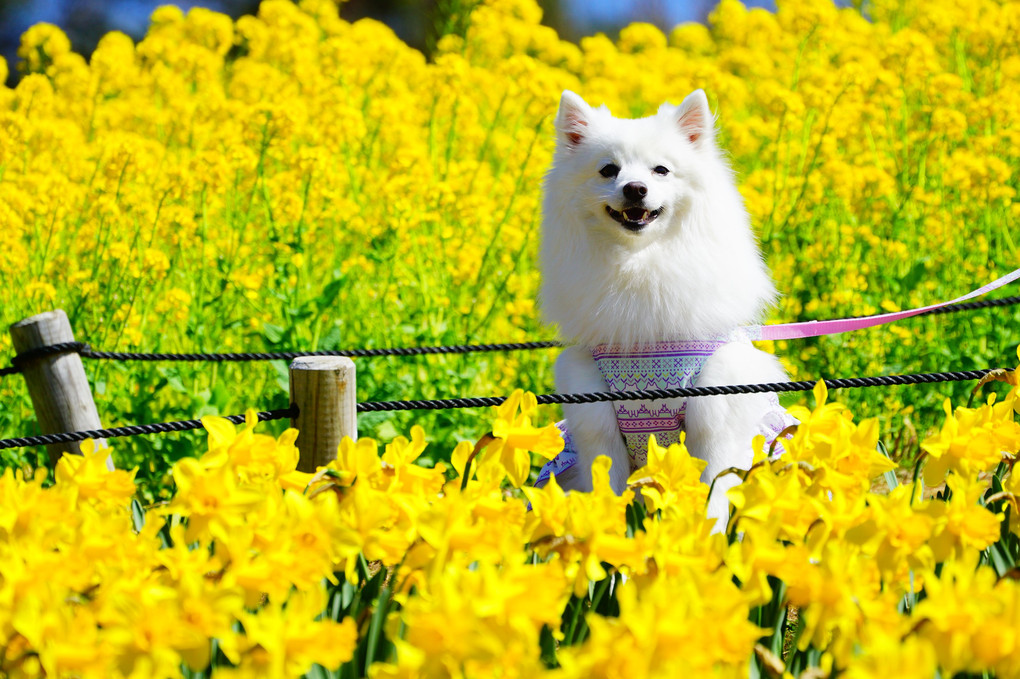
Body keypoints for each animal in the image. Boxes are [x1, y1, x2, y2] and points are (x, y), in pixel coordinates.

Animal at [538, 89, 791, 526]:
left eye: (661, 171)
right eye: (608, 170)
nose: (635, 188)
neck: (639, 265)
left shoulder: (714, 420)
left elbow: (713, 499)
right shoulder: (595, 419)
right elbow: (611, 496)